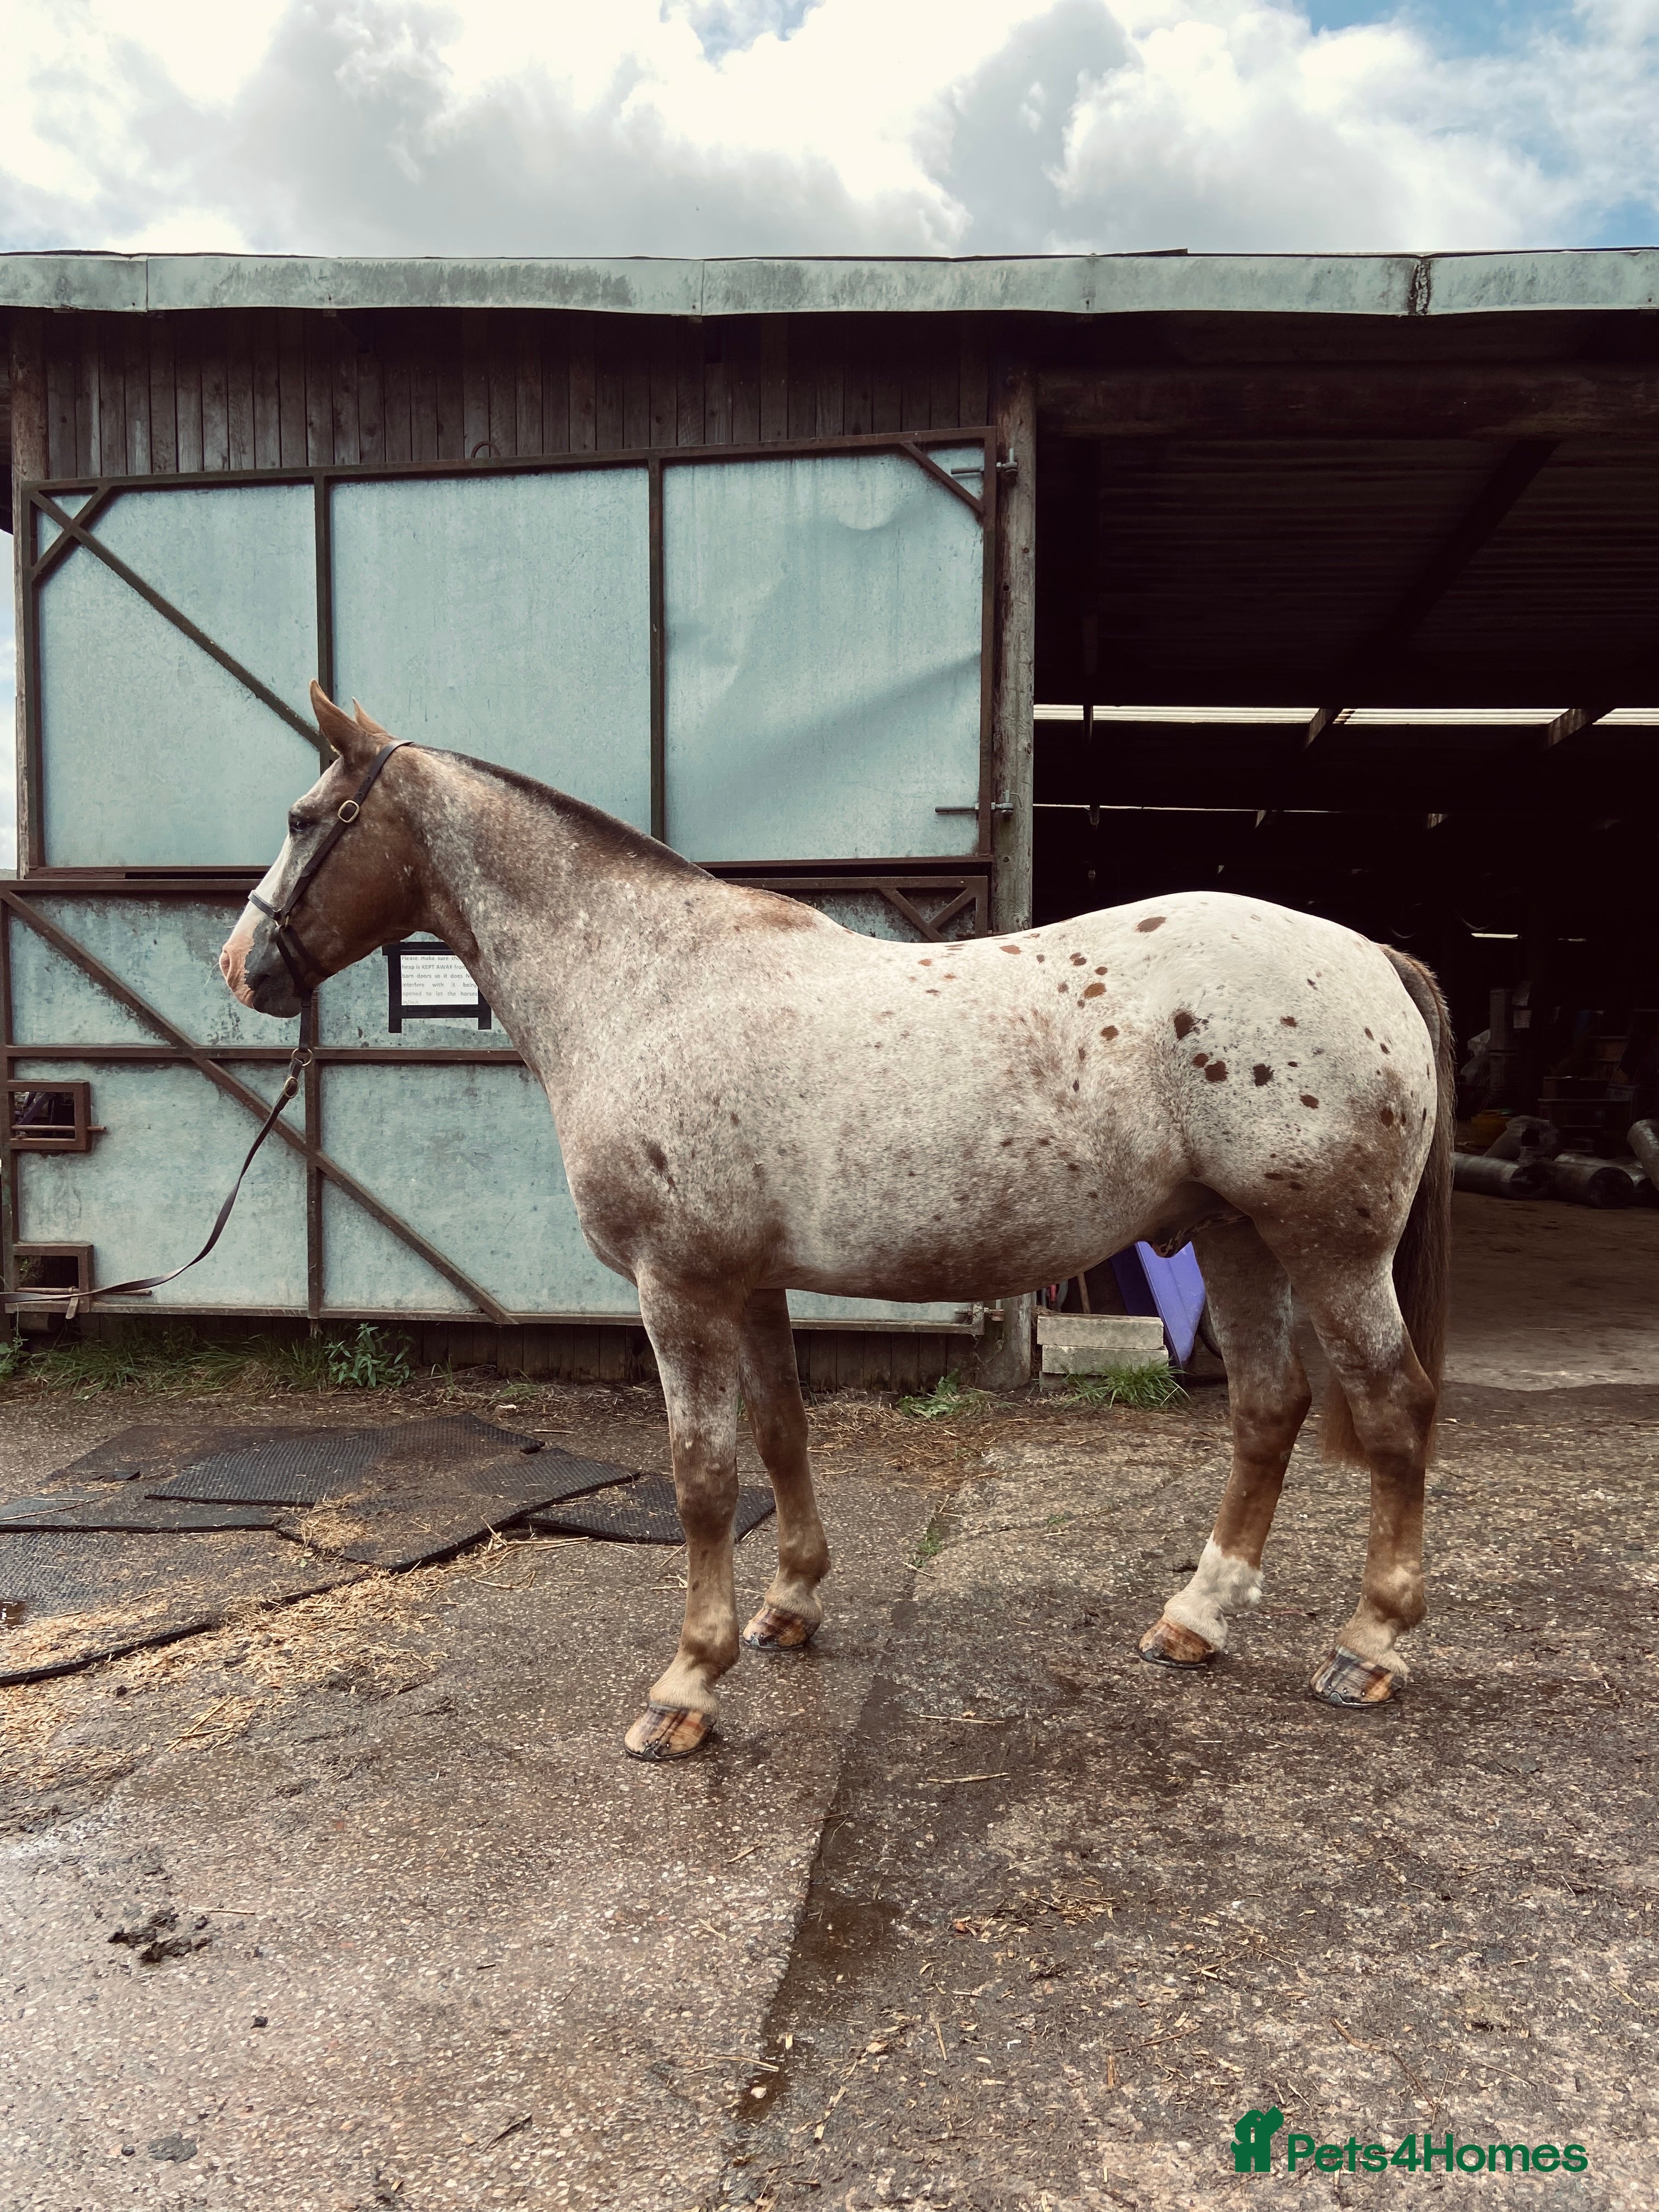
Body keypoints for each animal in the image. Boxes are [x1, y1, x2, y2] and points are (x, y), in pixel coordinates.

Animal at [221, 686, 1455, 1762]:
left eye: (304, 819)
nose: (242, 965)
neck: (651, 985)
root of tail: (1370, 957)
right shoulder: (750, 1283)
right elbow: (780, 1436)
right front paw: (788, 1609)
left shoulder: (679, 1286)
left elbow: (703, 1476)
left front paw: (686, 1686)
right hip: (1236, 1236)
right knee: (1267, 1408)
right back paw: (1194, 1619)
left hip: (1330, 1251)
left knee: (1391, 1409)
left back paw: (1367, 1646)